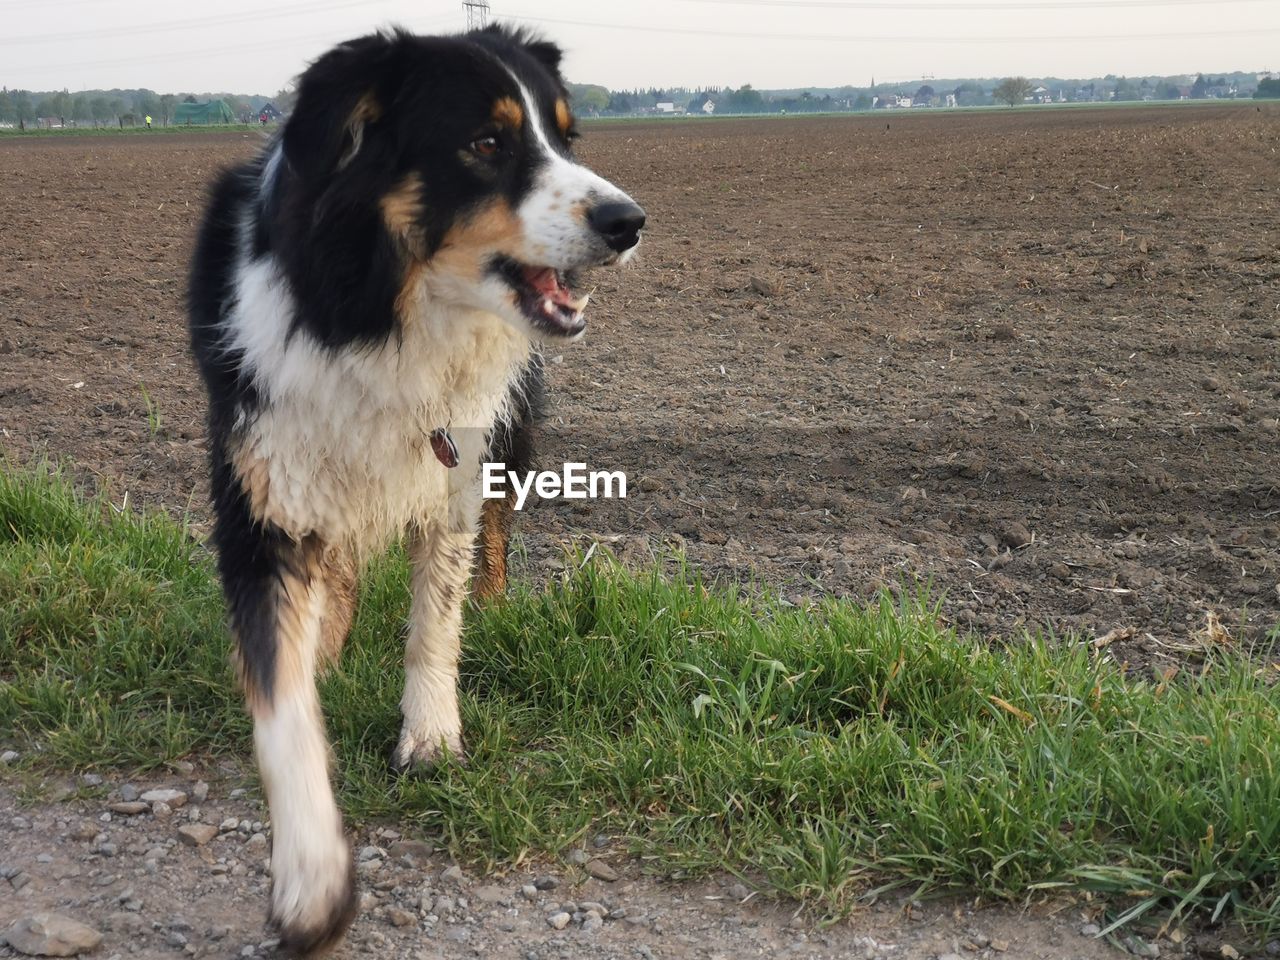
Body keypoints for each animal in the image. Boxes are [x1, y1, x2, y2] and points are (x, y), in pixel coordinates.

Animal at [185, 26, 645, 957]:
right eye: (487, 142)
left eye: (565, 138)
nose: (629, 222)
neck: (375, 315)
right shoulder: (259, 498)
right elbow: (282, 702)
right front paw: (312, 880)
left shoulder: (456, 464)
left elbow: (437, 616)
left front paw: (431, 736)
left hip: (511, 429)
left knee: (494, 533)